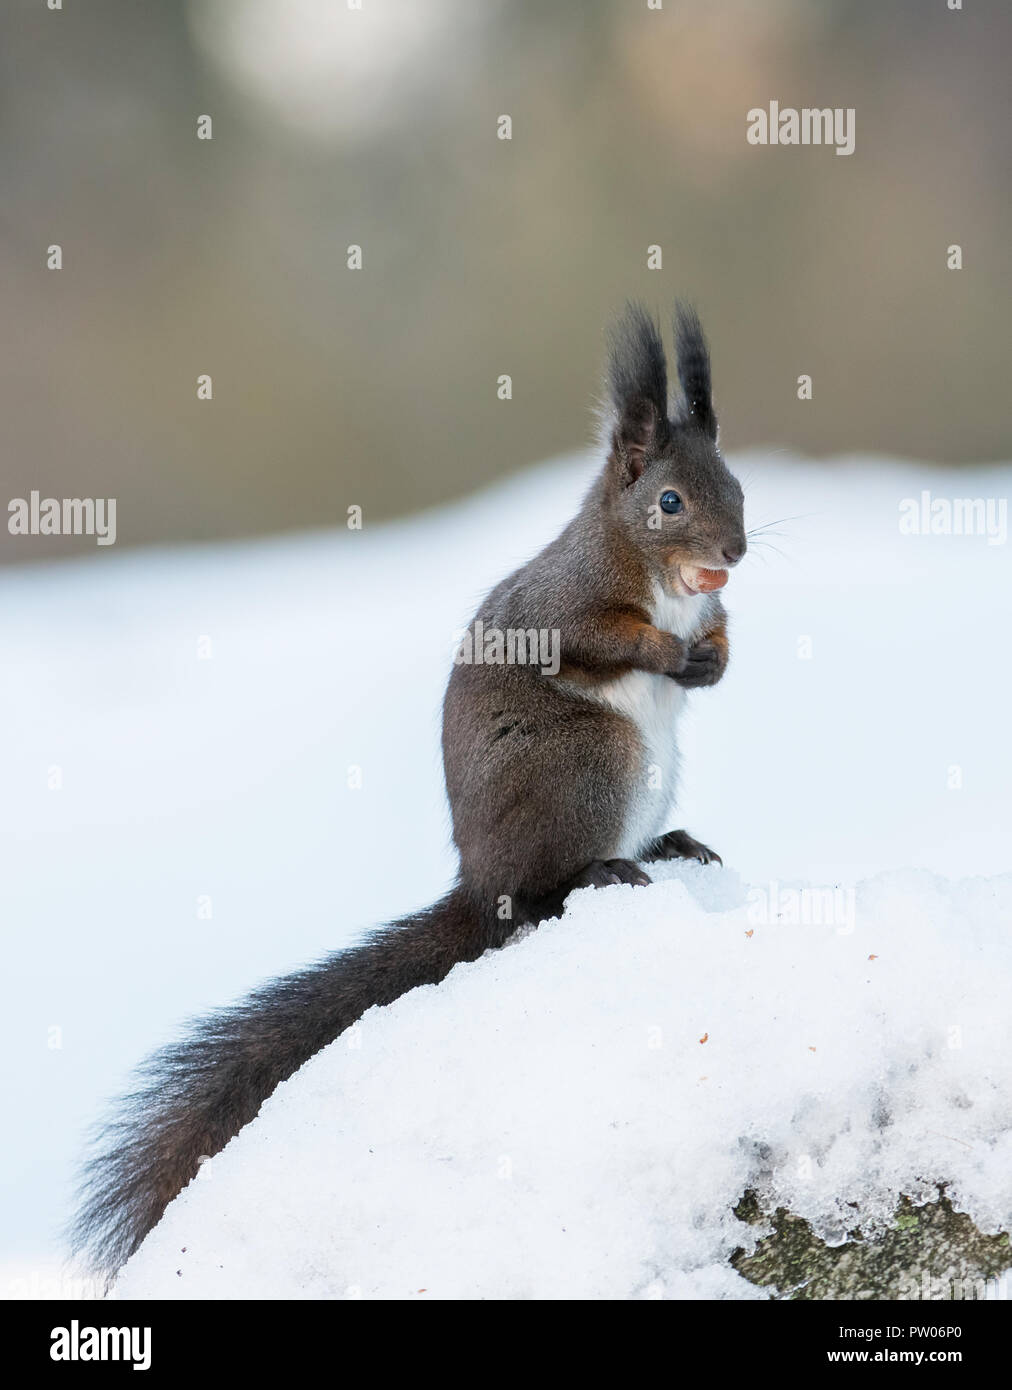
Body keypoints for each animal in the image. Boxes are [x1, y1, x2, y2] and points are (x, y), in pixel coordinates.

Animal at [72, 304, 745, 1278]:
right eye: (669, 503)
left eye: (737, 486)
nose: (735, 551)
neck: (661, 580)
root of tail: (477, 884)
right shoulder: (566, 601)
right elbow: (592, 636)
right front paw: (665, 652)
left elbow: (719, 640)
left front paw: (713, 659)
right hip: (592, 763)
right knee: (537, 896)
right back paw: (597, 873)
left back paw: (670, 843)